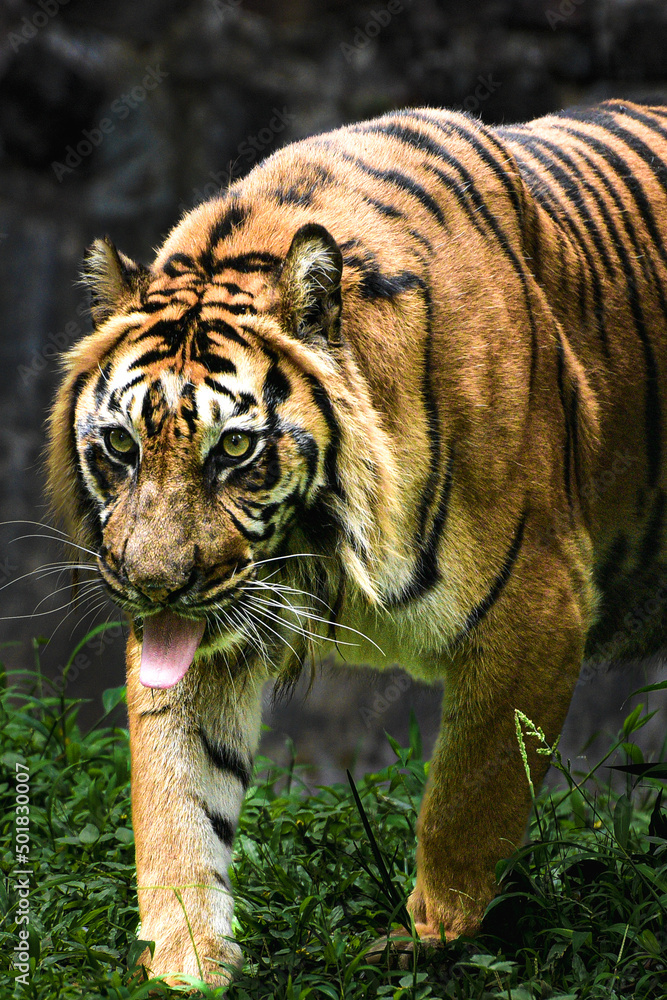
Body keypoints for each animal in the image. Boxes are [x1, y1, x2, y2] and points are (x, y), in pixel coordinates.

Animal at [46, 98, 667, 984]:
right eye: (122, 447)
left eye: (234, 449)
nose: (153, 584)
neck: (324, 553)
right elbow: (177, 795)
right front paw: (186, 960)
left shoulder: (535, 610)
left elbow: (467, 801)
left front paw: (431, 941)